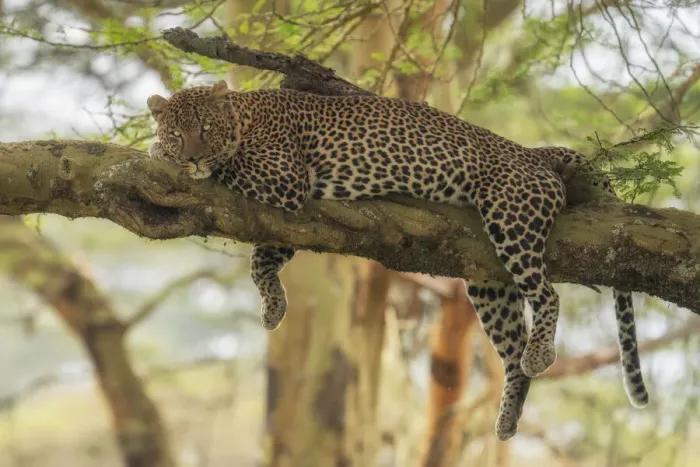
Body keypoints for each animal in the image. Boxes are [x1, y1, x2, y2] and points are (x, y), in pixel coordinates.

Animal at [146, 80, 649, 440]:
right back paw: (508, 416)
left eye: (203, 130)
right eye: (177, 131)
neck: (245, 114)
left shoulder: (284, 179)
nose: (191, 156)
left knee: (547, 295)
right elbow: (263, 259)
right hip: (488, 274)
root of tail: (530, 152)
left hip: (512, 217)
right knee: (511, 345)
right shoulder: (290, 217)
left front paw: (159, 154)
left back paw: (541, 354)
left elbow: (231, 172)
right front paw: (274, 307)